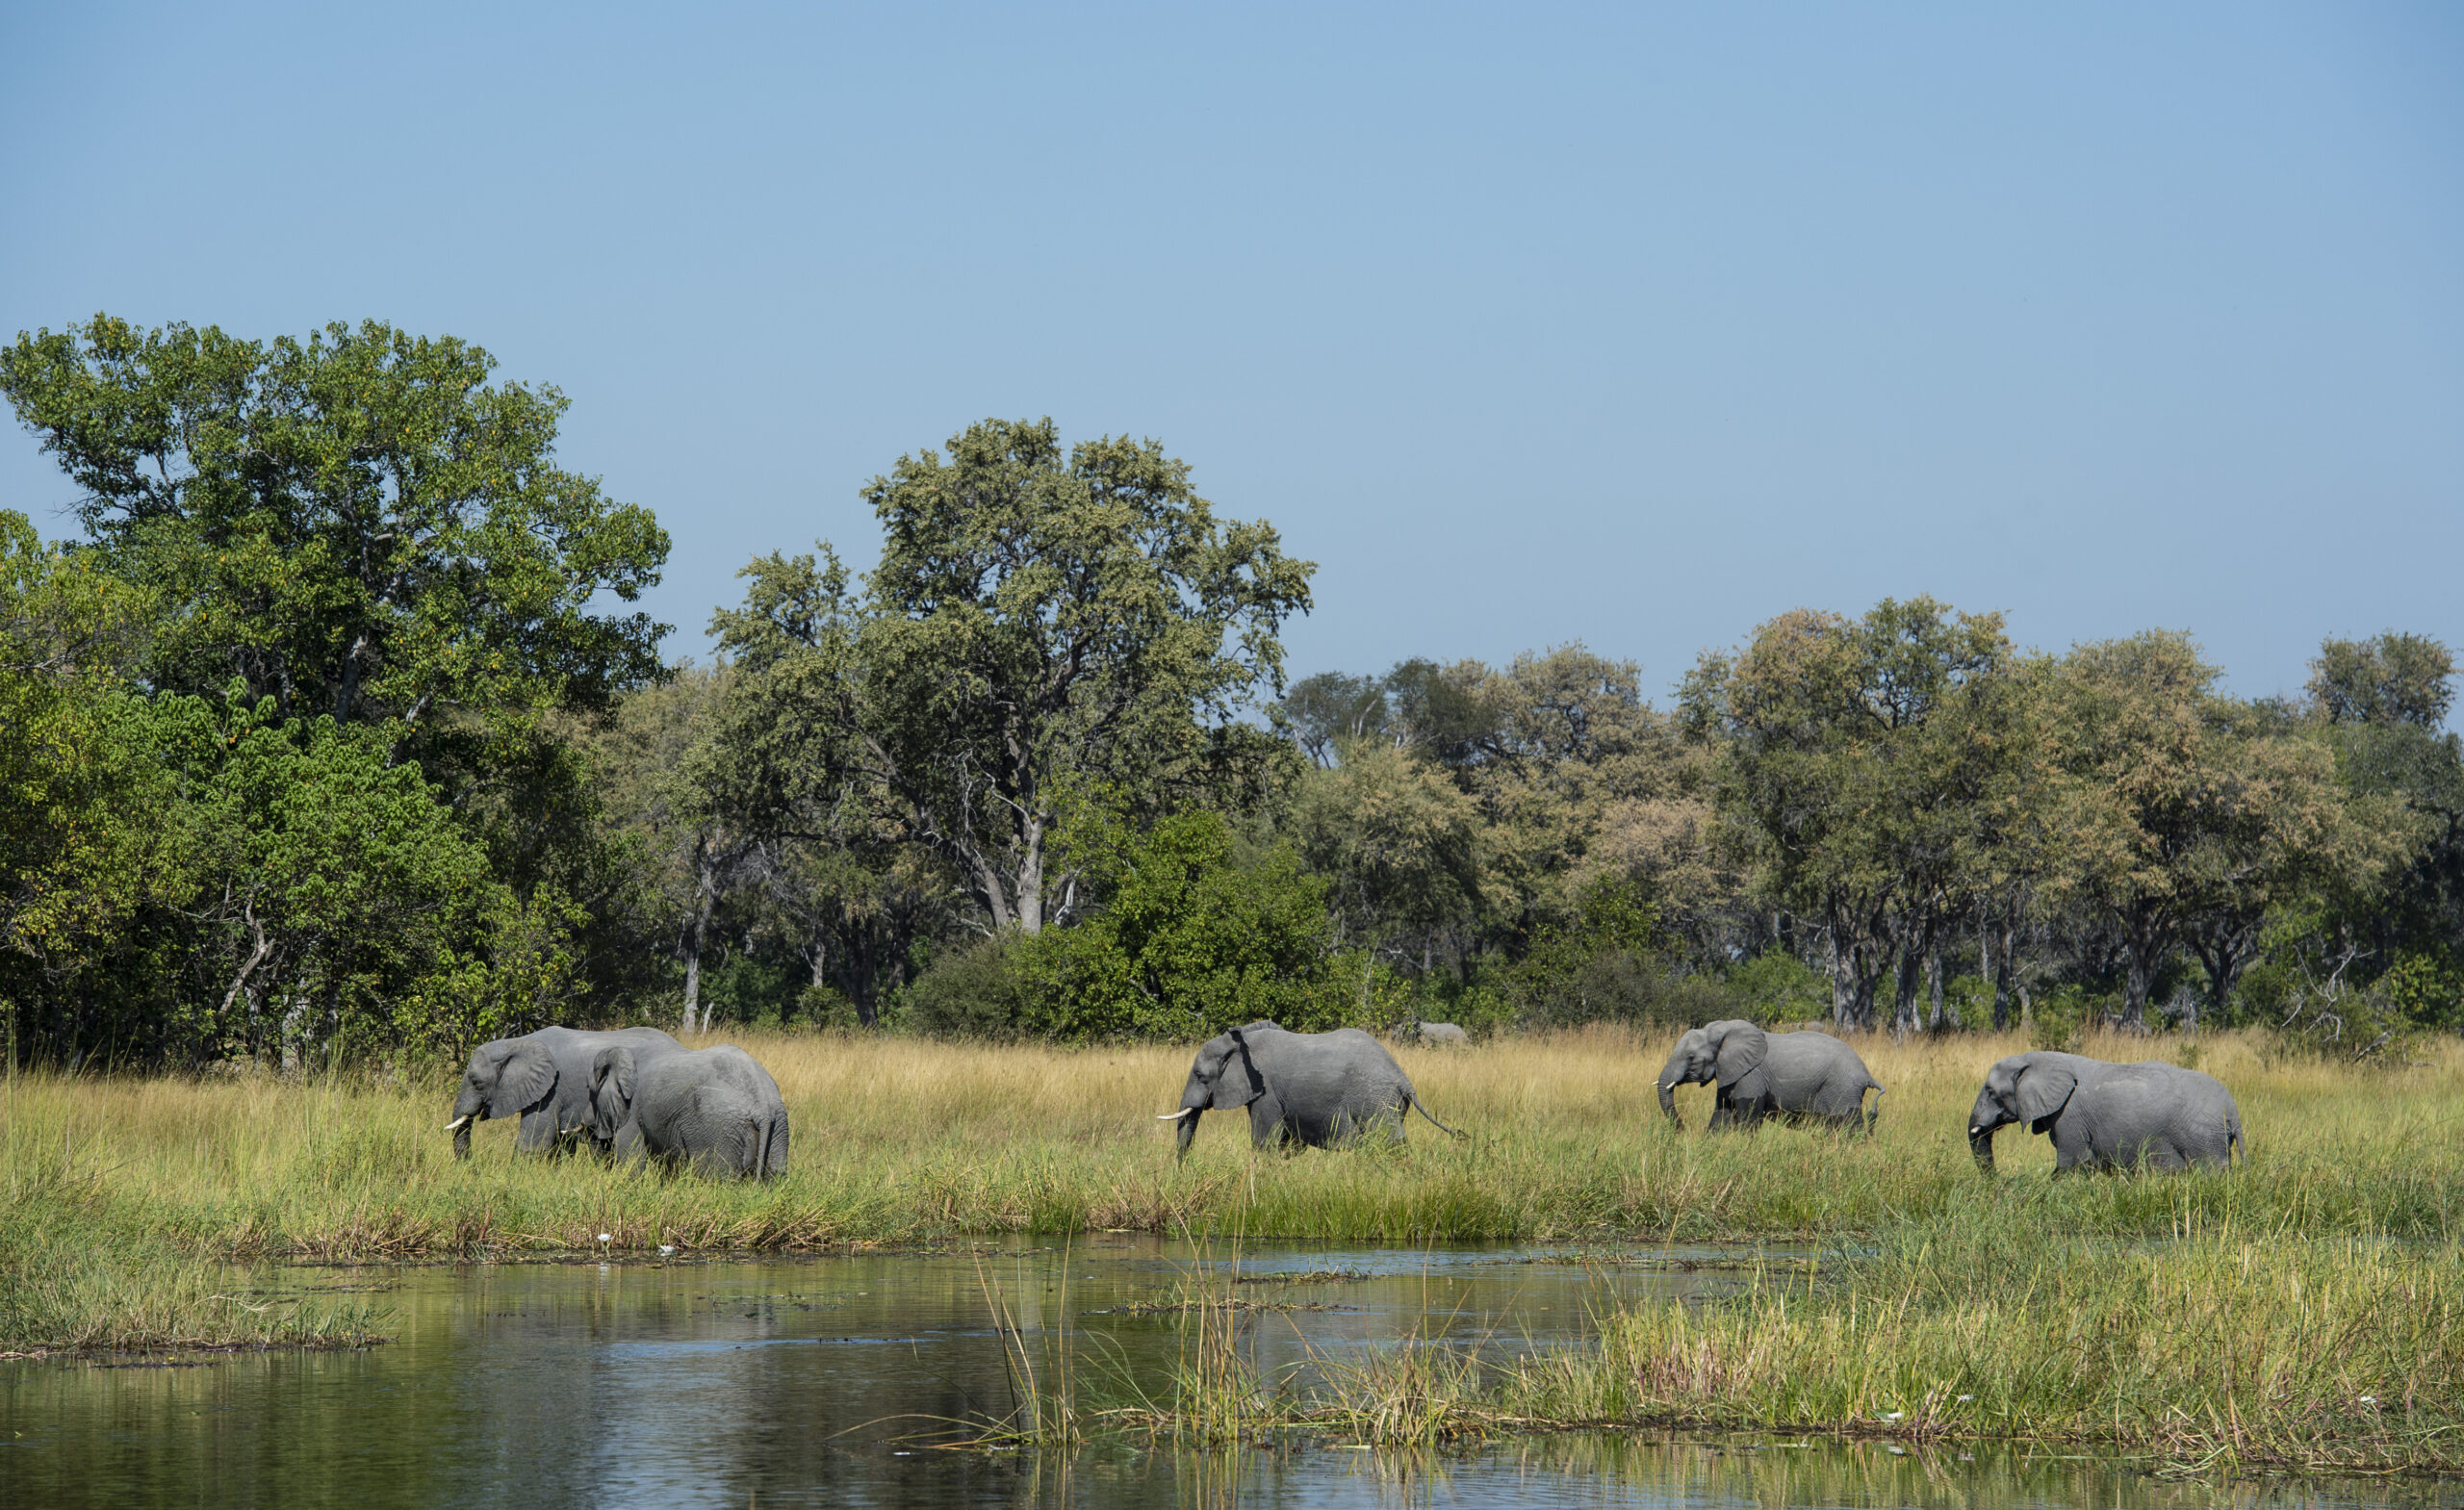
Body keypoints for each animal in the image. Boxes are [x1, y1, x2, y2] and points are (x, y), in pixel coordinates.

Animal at [589, 1042, 790, 1179]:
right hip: (778, 1126)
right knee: (774, 1173)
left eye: (590, 1091)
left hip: (717, 1130)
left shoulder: (630, 1110)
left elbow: (632, 1160)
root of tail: (762, 1107)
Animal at [1162, 1022, 1461, 1160]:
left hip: (1375, 1099)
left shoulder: (1267, 1092)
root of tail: (1403, 1079)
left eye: (1200, 1077)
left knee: (1388, 1138)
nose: (1182, 1168)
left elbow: (1264, 1140)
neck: (1240, 1040)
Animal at [1656, 1020, 1882, 1132]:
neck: (1722, 1031)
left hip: (1843, 1088)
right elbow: (1721, 1115)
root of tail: (1867, 1074)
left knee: (1849, 1124)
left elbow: (1748, 1118)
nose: (1682, 1128)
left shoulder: (1751, 1076)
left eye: (1691, 1057)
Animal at [1968, 1052, 2241, 1173]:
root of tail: (2233, 1112)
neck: (2040, 1058)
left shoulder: (2069, 1115)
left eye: (1991, 1092)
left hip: (2203, 1139)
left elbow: (2072, 1162)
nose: (1996, 1182)